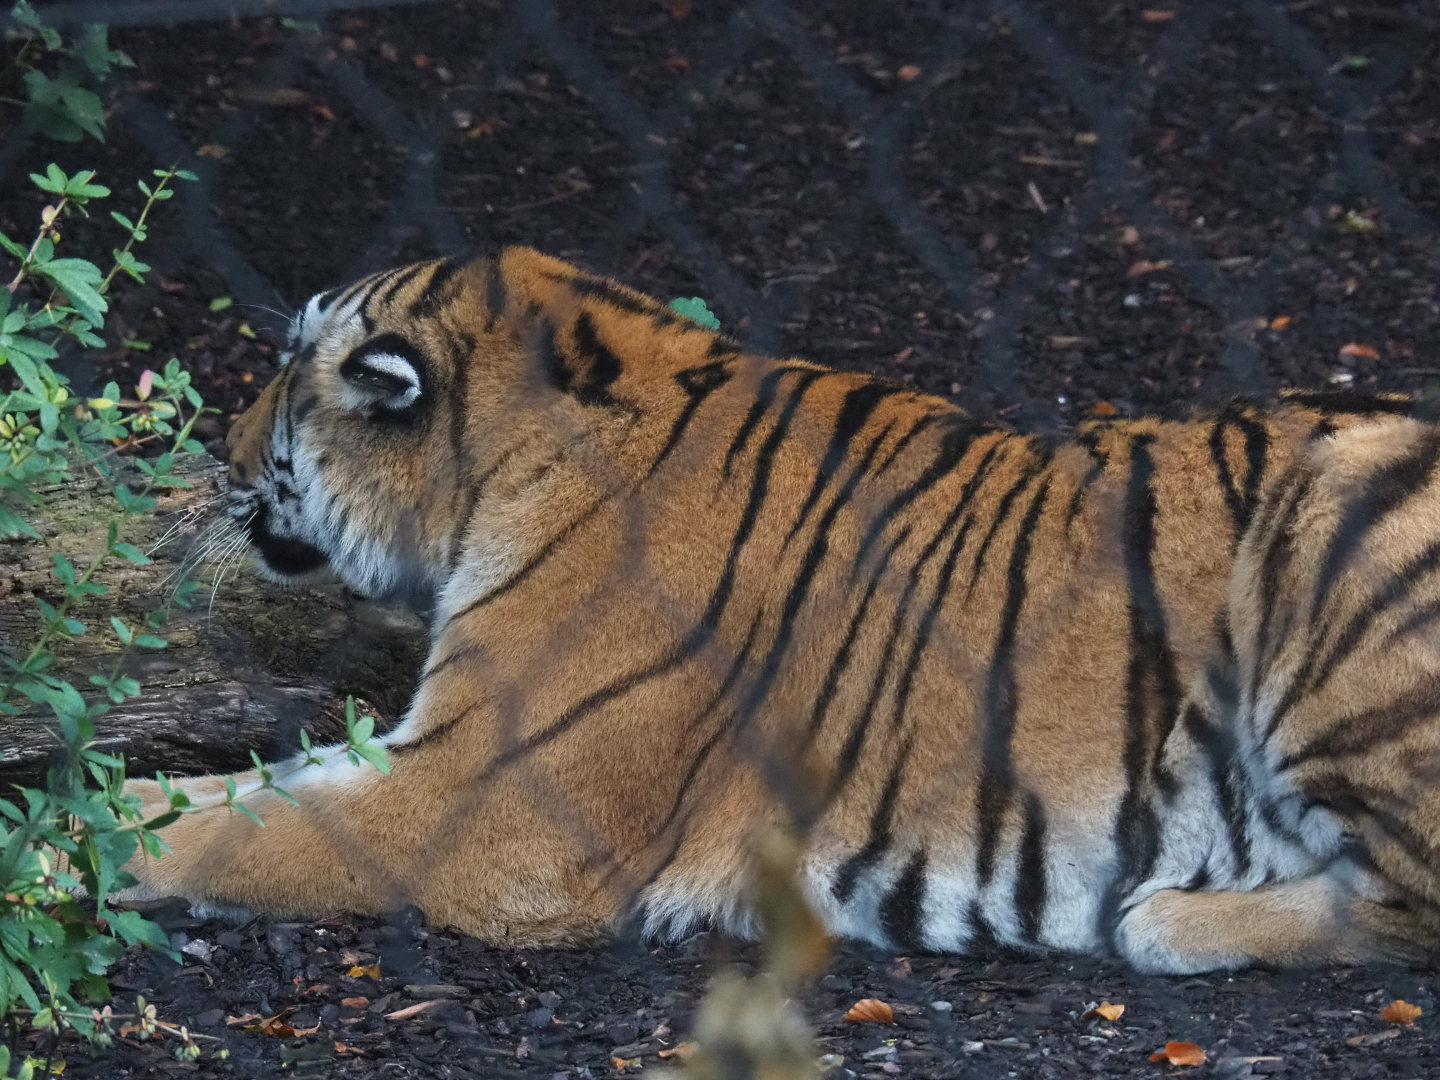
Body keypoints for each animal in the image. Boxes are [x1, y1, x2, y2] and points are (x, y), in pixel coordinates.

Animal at [117, 246, 1440, 974]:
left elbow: (243, 833)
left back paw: (1172, 921)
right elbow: (229, 791)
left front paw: (78, 846)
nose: (215, 449)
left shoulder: (485, 805)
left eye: (285, 373)